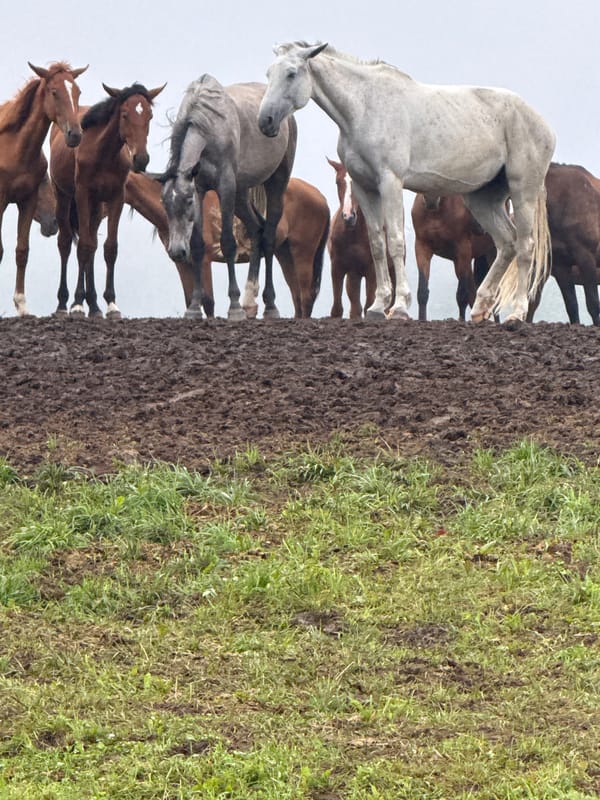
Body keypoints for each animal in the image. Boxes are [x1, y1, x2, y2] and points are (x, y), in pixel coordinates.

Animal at [0, 62, 86, 315]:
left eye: (77, 92)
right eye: (54, 92)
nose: (75, 134)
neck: (14, 145)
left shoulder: (26, 202)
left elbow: (22, 251)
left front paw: (22, 305)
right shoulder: (0, 200)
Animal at [50, 82, 165, 318]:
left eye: (149, 115)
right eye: (124, 114)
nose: (141, 159)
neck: (101, 153)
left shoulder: (116, 198)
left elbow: (109, 248)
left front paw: (111, 303)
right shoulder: (82, 195)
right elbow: (83, 246)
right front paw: (77, 304)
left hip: (96, 208)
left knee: (92, 245)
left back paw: (93, 305)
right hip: (64, 198)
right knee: (66, 243)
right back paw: (63, 304)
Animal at [124, 171, 329, 317]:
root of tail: (321, 197)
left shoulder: (203, 260)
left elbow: (208, 301)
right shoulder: (181, 262)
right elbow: (190, 299)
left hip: (303, 254)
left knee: (305, 295)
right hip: (285, 254)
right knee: (297, 295)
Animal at [160, 74, 297, 320]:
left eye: (187, 202)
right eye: (164, 204)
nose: (176, 251)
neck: (208, 125)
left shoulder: (225, 187)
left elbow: (228, 244)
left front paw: (234, 306)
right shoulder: (200, 187)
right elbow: (197, 245)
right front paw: (194, 307)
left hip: (275, 183)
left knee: (269, 235)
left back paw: (269, 305)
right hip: (240, 195)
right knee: (257, 230)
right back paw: (250, 302)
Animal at [327, 157, 394, 318]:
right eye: (337, 182)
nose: (349, 216)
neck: (353, 236)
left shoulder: (371, 271)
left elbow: (369, 304)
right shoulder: (337, 267)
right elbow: (337, 308)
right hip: (354, 276)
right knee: (355, 307)